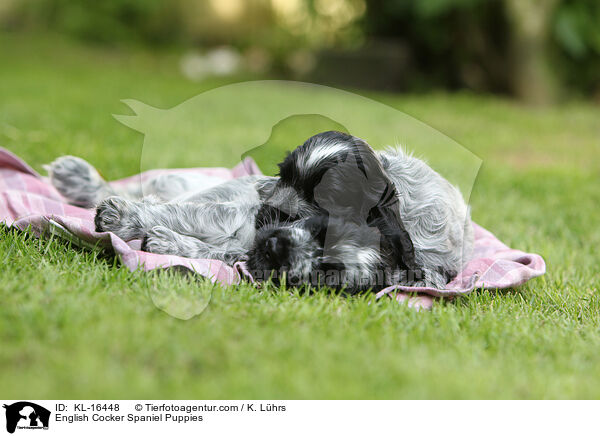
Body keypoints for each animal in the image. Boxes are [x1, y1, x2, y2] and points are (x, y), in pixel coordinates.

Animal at [45, 131, 474, 292]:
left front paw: (163, 240)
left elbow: (213, 246)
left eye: (327, 272)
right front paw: (122, 217)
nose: (269, 210)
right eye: (284, 172)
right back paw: (79, 179)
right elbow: (177, 213)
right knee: (146, 187)